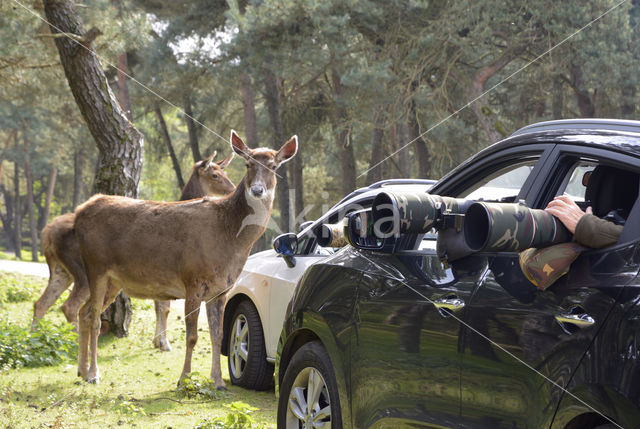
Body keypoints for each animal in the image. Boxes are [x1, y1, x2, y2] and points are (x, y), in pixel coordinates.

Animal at [31, 150, 236, 354]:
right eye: (215, 175)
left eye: (225, 172)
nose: (232, 189)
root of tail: (47, 234)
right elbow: (165, 307)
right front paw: (164, 343)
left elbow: (160, 306)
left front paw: (158, 341)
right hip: (84, 272)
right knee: (70, 306)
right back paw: (72, 338)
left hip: (62, 271)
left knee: (41, 302)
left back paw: (36, 337)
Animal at [72, 130, 298, 384]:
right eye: (248, 164)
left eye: (274, 166)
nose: (257, 190)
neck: (229, 239)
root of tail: (80, 211)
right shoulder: (193, 279)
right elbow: (192, 337)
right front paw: (184, 379)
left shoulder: (221, 289)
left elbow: (218, 336)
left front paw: (218, 382)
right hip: (96, 266)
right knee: (94, 318)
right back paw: (93, 373)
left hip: (113, 280)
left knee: (84, 312)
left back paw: (81, 370)